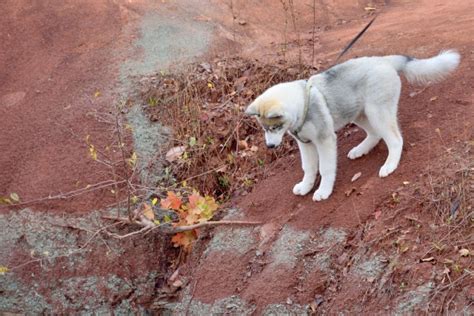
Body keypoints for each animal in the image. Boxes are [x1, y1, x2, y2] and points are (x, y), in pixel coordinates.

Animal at [246, 50, 462, 201]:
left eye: (274, 127)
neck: (302, 105)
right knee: (375, 134)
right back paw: (360, 150)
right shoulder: (305, 144)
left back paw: (389, 165)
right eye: (265, 129)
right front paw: (306, 186)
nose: (270, 146)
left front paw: (323, 191)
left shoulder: (324, 140)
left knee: (395, 139)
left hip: (377, 112)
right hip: (358, 113)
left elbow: (325, 168)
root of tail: (385, 60)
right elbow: (308, 168)